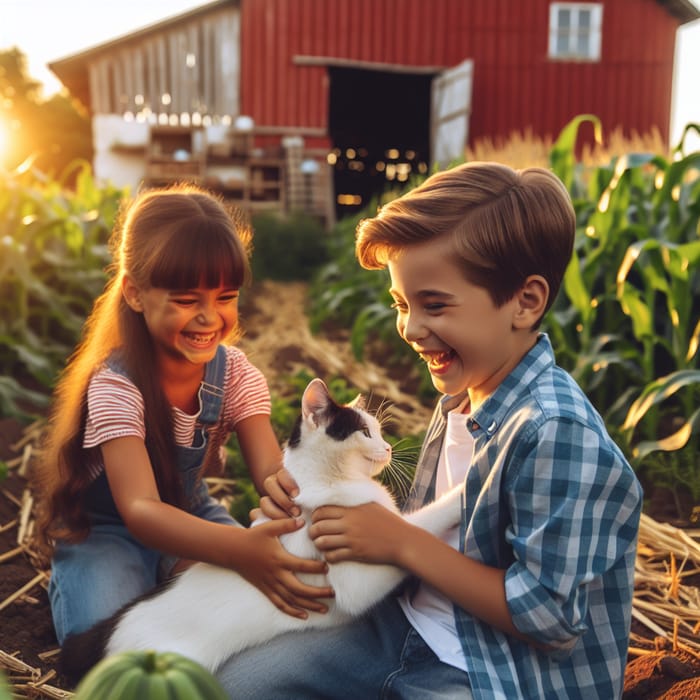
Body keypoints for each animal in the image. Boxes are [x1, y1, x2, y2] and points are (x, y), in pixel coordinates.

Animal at [61, 380, 464, 680]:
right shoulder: (355, 583)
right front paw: (463, 488)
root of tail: (107, 632)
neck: (324, 483)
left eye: (378, 431)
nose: (389, 448)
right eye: (366, 431)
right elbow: (416, 530)